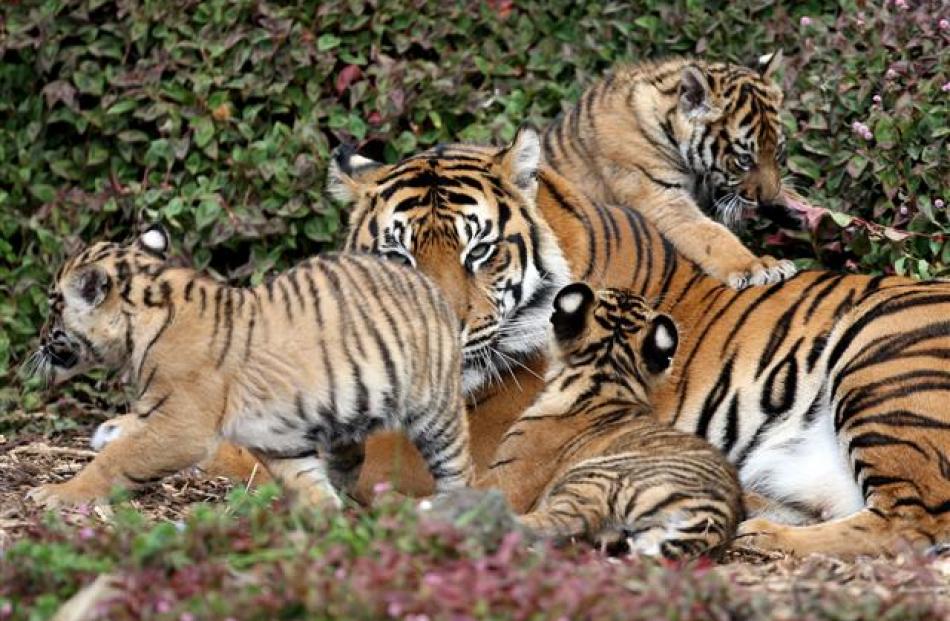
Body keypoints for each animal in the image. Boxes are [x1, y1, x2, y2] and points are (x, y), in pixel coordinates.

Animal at [24, 227, 471, 508]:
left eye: (53, 306)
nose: (40, 340)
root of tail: (423, 282)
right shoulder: (280, 439)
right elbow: (305, 481)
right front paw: (317, 520)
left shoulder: (180, 427)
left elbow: (115, 460)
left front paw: (57, 494)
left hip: (435, 410)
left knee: (458, 469)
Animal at [542, 53, 798, 290]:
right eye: (744, 160)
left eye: (777, 151)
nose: (768, 199)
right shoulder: (663, 199)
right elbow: (712, 233)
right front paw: (759, 266)